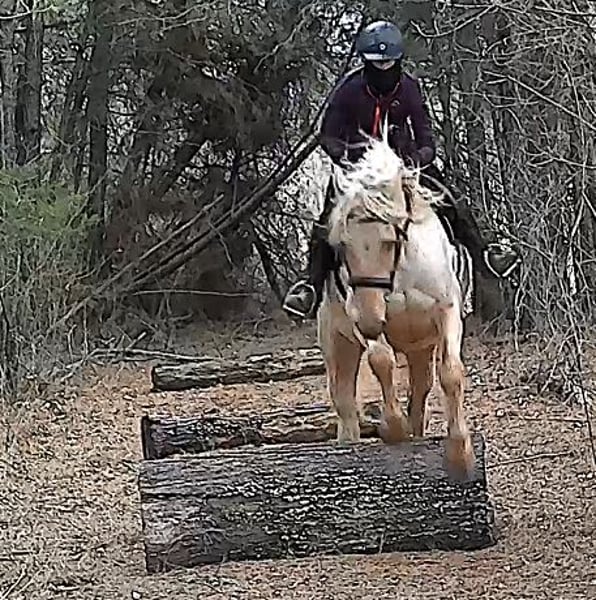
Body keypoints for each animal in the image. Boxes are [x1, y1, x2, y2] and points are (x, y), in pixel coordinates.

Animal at [316, 128, 476, 480]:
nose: (369, 321)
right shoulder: (361, 320)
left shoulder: (446, 313)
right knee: (344, 400)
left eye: (389, 241)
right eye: (341, 246)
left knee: (420, 391)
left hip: (420, 348)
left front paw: (460, 452)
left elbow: (451, 372)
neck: (400, 269)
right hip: (337, 342)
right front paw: (393, 428)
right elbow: (382, 361)